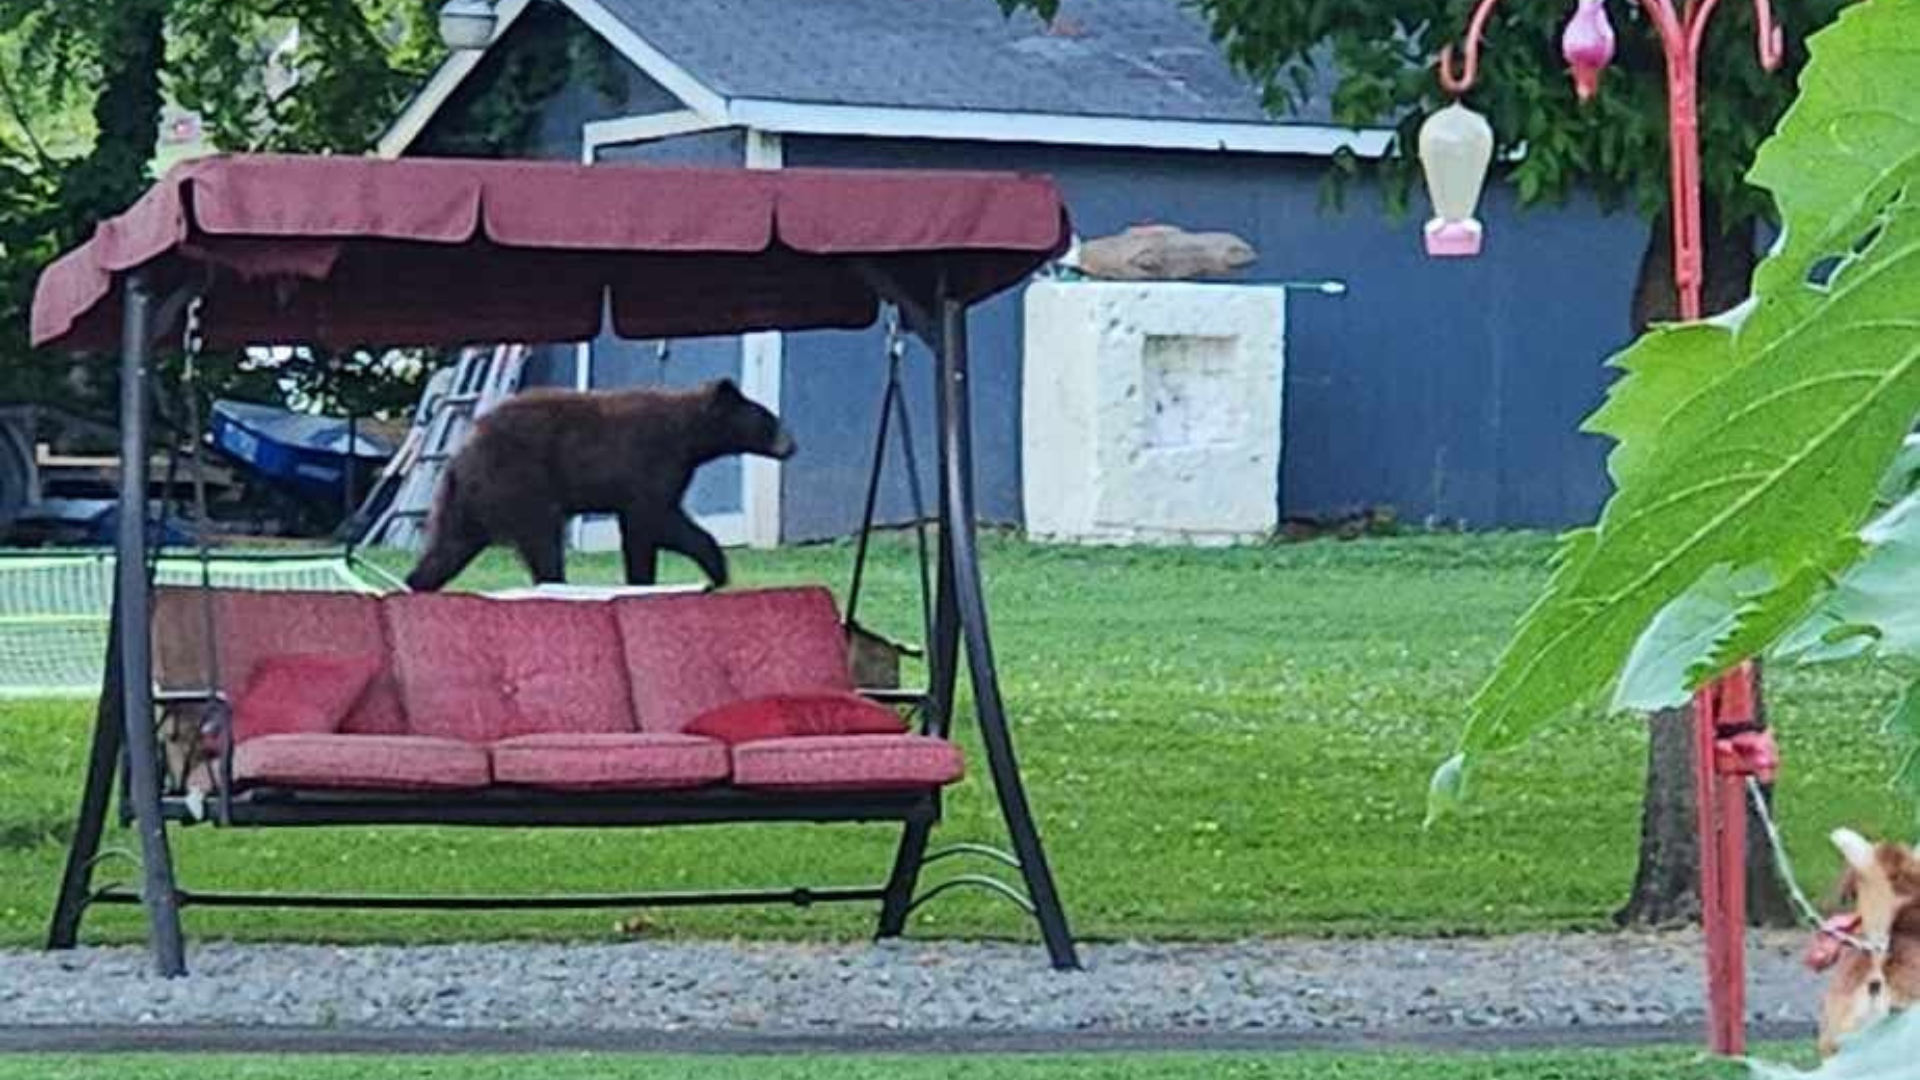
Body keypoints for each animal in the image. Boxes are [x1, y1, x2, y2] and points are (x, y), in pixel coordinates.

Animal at [405, 376, 794, 588]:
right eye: (770, 420)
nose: (792, 445)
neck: (690, 436)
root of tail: (461, 451)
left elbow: (644, 525)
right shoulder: (651, 460)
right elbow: (654, 518)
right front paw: (715, 567)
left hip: (467, 500)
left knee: (448, 548)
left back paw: (415, 583)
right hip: (519, 481)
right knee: (543, 538)